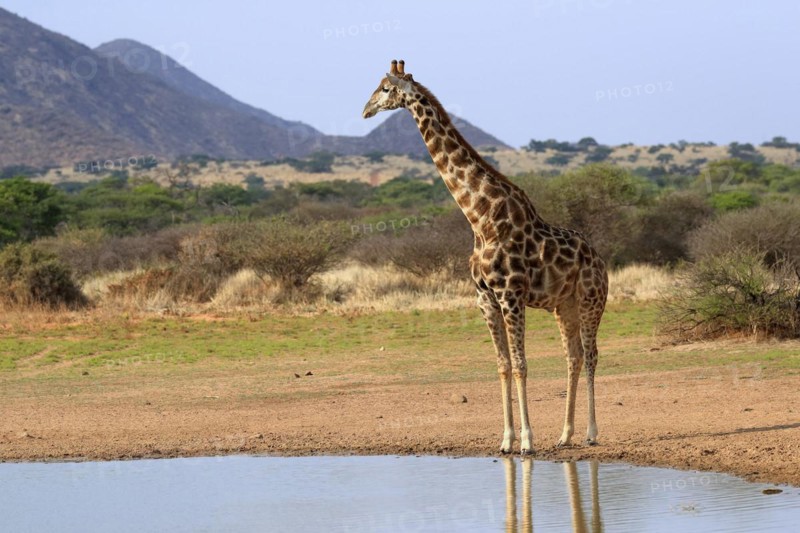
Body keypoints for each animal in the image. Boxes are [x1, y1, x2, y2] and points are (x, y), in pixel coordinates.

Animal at [362, 60, 608, 454]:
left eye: (385, 88)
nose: (365, 110)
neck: (481, 219)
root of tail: (600, 260)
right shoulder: (485, 298)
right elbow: (503, 365)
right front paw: (506, 439)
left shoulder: (511, 295)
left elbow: (521, 364)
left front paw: (526, 441)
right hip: (563, 305)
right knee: (573, 356)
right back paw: (564, 434)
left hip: (591, 300)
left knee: (591, 354)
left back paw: (590, 432)